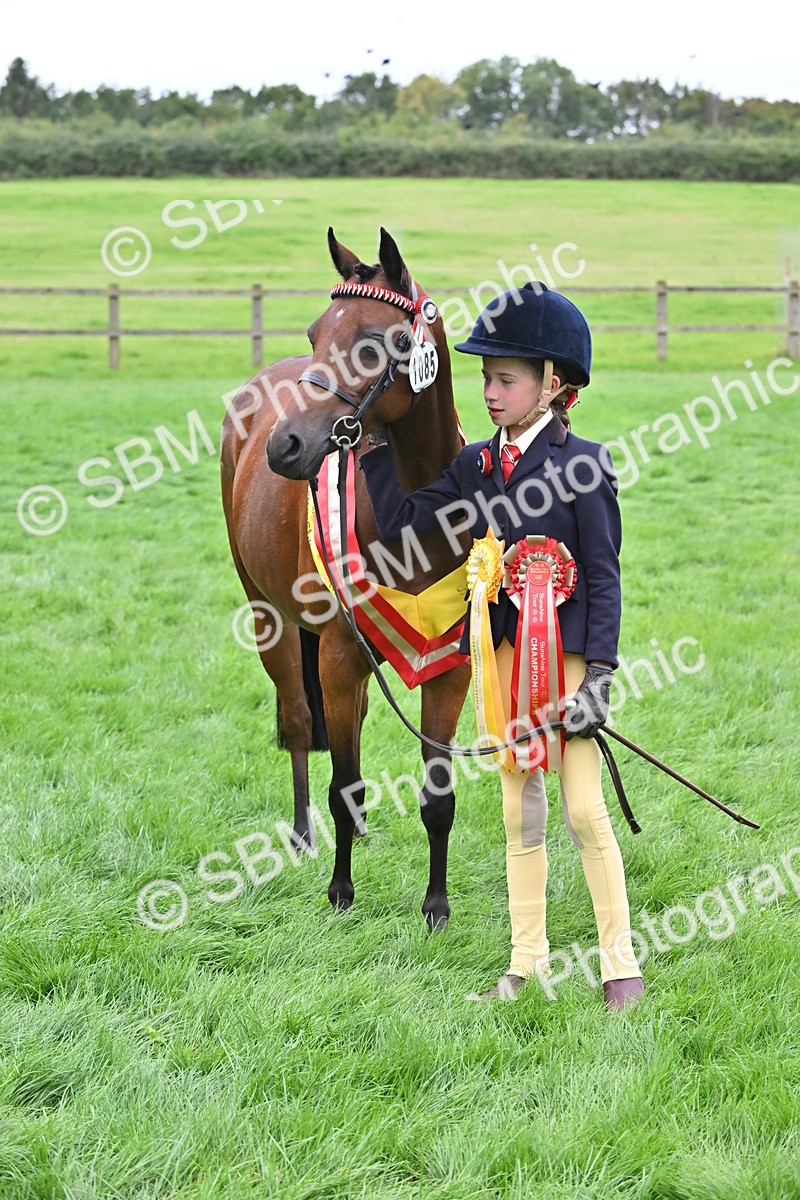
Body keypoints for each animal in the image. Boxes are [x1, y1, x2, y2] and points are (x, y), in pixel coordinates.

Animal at [220, 227, 472, 930]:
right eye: (315, 333)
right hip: (272, 620)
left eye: (374, 342)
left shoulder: (449, 665)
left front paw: (436, 907)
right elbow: (342, 779)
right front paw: (339, 892)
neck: (416, 506)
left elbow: (437, 794)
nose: (285, 447)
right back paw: (307, 836)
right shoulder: (334, 654)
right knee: (303, 722)